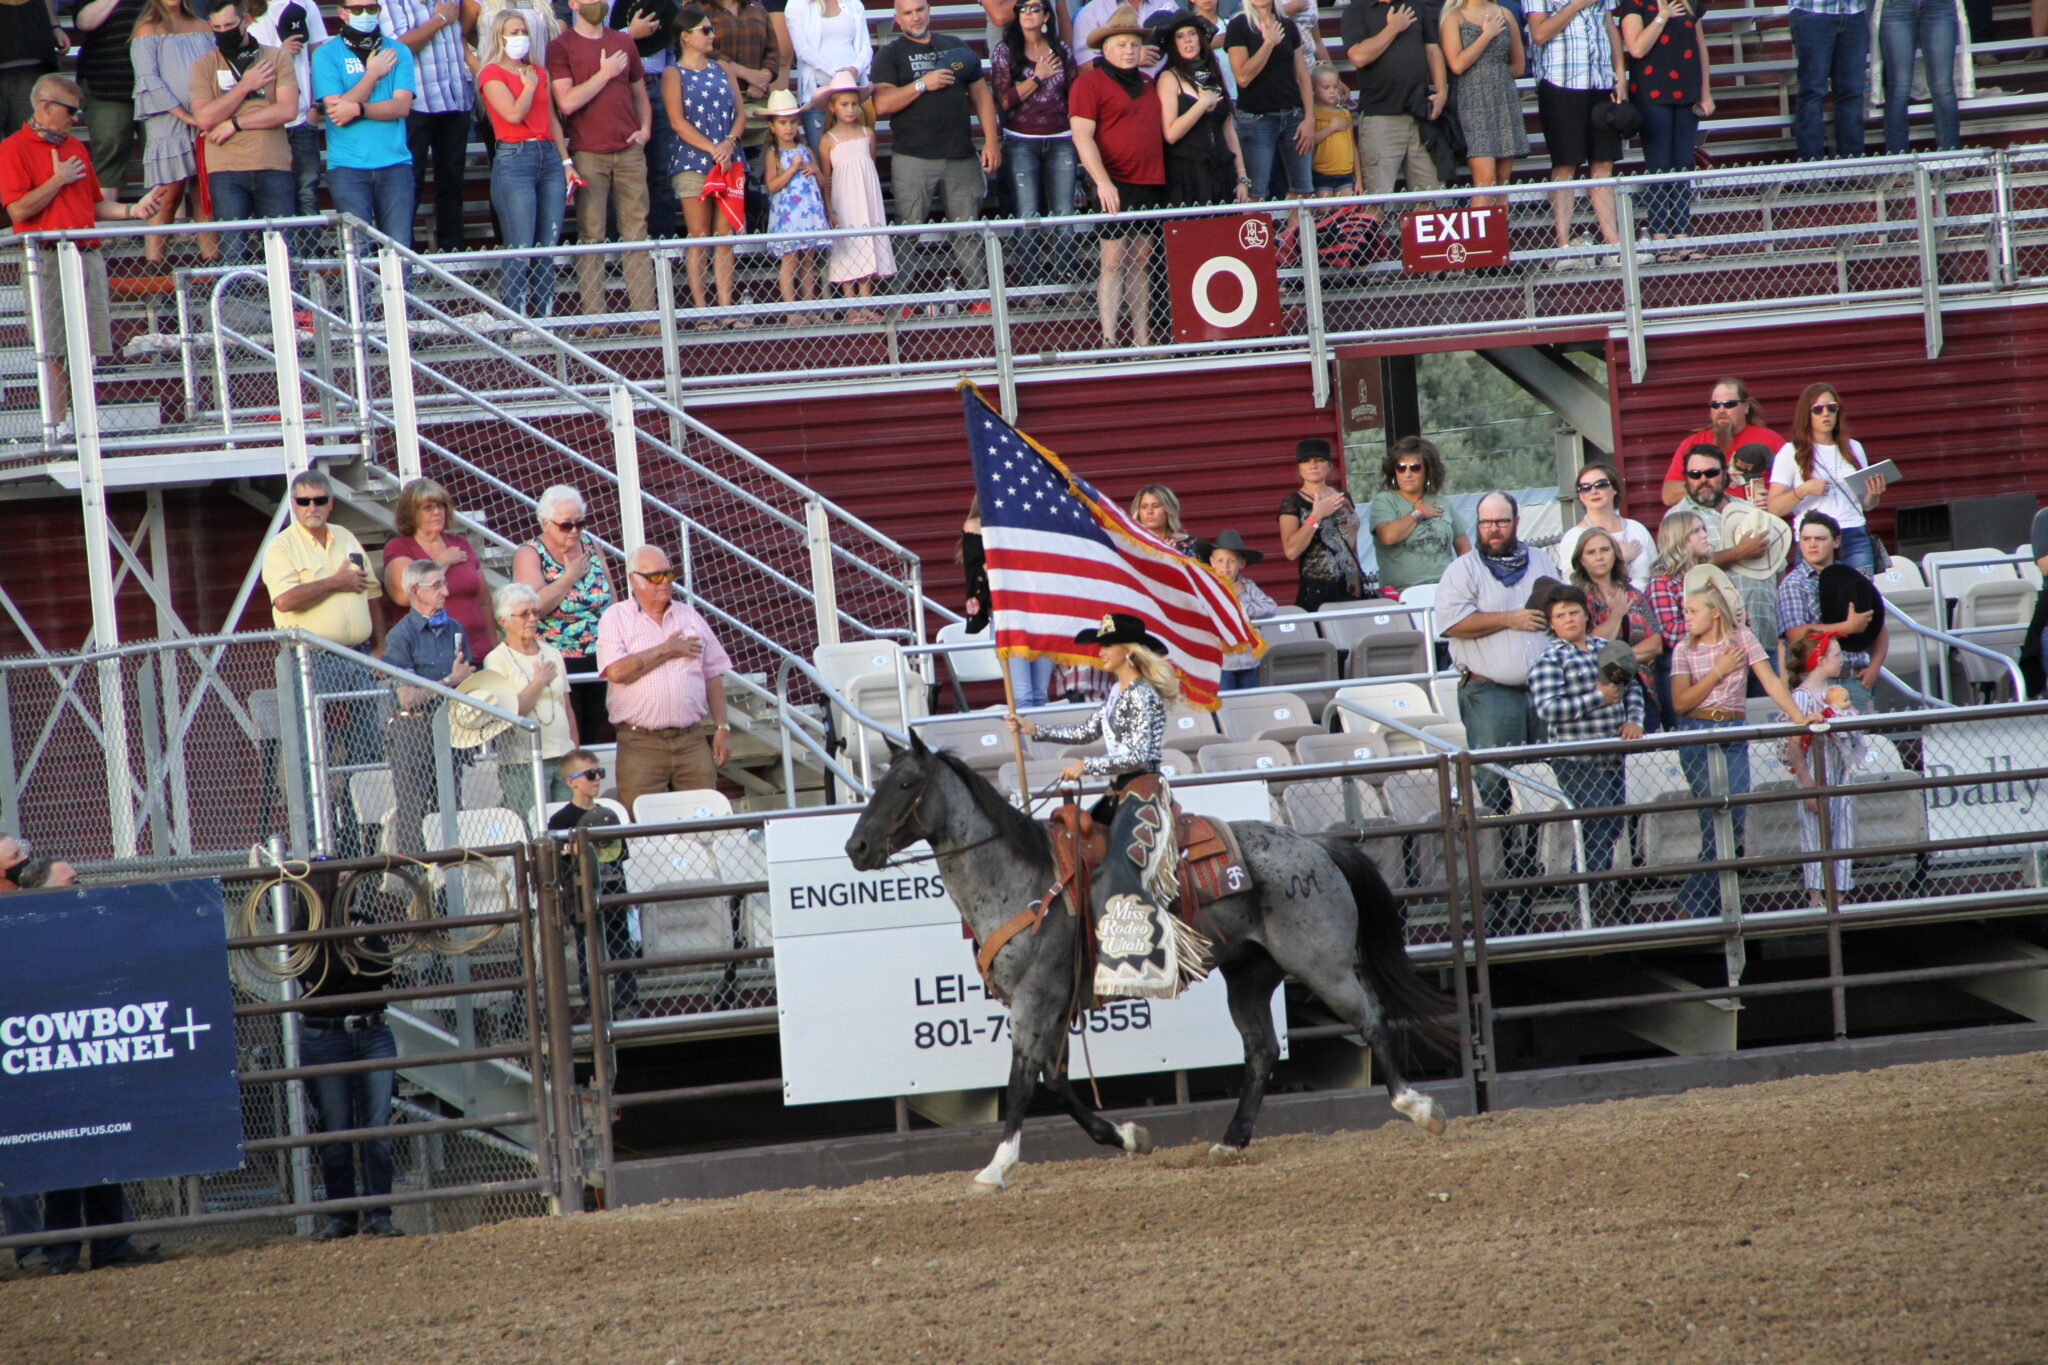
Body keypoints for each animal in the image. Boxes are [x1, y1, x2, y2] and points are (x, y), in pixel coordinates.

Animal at [839, 732, 1466, 1186]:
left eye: (905, 782)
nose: (856, 847)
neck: (1021, 881)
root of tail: (1315, 846)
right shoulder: (1051, 1002)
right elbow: (1055, 1080)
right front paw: (1127, 1138)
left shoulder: (1035, 998)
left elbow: (1022, 1083)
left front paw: (996, 1167)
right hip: (1249, 975)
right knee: (1262, 1051)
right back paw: (1229, 1142)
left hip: (1323, 964)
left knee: (1372, 1019)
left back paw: (1419, 1108)